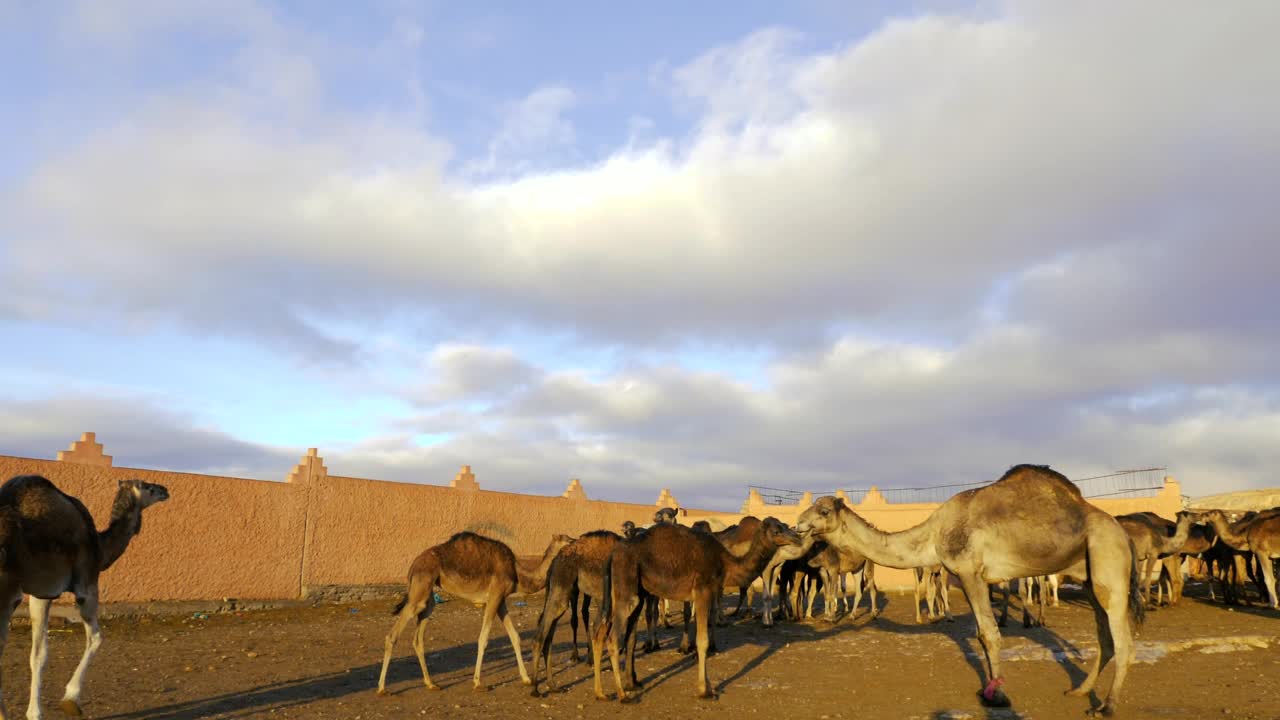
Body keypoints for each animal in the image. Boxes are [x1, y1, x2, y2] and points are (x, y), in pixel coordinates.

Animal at [0, 471, 170, 717]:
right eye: (148, 486)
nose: (165, 490)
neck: (100, 546)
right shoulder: (87, 586)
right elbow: (96, 637)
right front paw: (69, 700)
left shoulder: (42, 593)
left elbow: (37, 654)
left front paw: (34, 712)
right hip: (7, 592)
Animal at [376, 530, 573, 691]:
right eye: (567, 539)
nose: (576, 541)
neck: (518, 574)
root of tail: (413, 566)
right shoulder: (494, 596)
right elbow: (483, 639)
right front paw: (478, 682)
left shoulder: (500, 600)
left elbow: (515, 637)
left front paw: (526, 679)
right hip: (420, 588)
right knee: (392, 635)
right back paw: (382, 688)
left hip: (428, 595)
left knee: (418, 638)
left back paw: (431, 683)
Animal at [591, 512, 793, 696]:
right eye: (777, 530)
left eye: (784, 525)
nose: (796, 537)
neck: (725, 562)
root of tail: (613, 554)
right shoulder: (703, 591)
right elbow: (702, 641)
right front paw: (705, 690)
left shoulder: (707, 593)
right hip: (626, 589)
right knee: (612, 637)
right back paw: (622, 694)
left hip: (629, 592)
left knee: (605, 632)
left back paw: (607, 692)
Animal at [793, 461, 1146, 712]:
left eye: (823, 511)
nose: (798, 525)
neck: (933, 534)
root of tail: (1122, 532)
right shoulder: (967, 578)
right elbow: (979, 634)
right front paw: (987, 691)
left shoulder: (970, 573)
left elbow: (989, 634)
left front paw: (999, 695)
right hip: (1089, 574)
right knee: (1105, 638)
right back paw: (1080, 690)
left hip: (1108, 559)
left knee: (1124, 641)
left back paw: (1107, 706)